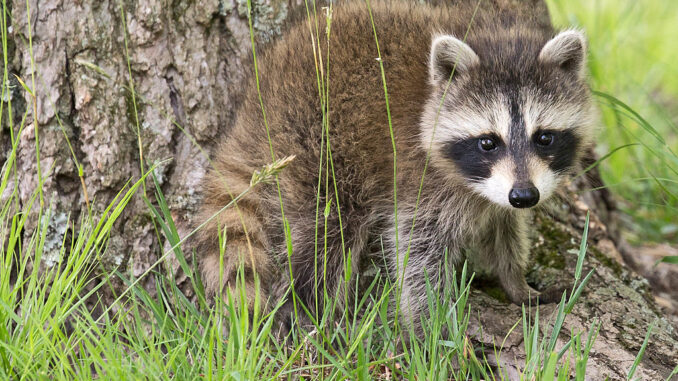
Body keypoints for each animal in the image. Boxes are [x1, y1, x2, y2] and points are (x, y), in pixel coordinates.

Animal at [195, 0, 596, 332]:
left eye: (544, 138)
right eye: (488, 142)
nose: (525, 196)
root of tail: (256, 103)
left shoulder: (499, 190)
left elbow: (505, 228)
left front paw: (515, 282)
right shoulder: (421, 179)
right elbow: (418, 252)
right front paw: (430, 329)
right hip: (314, 146)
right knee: (329, 232)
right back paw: (312, 308)